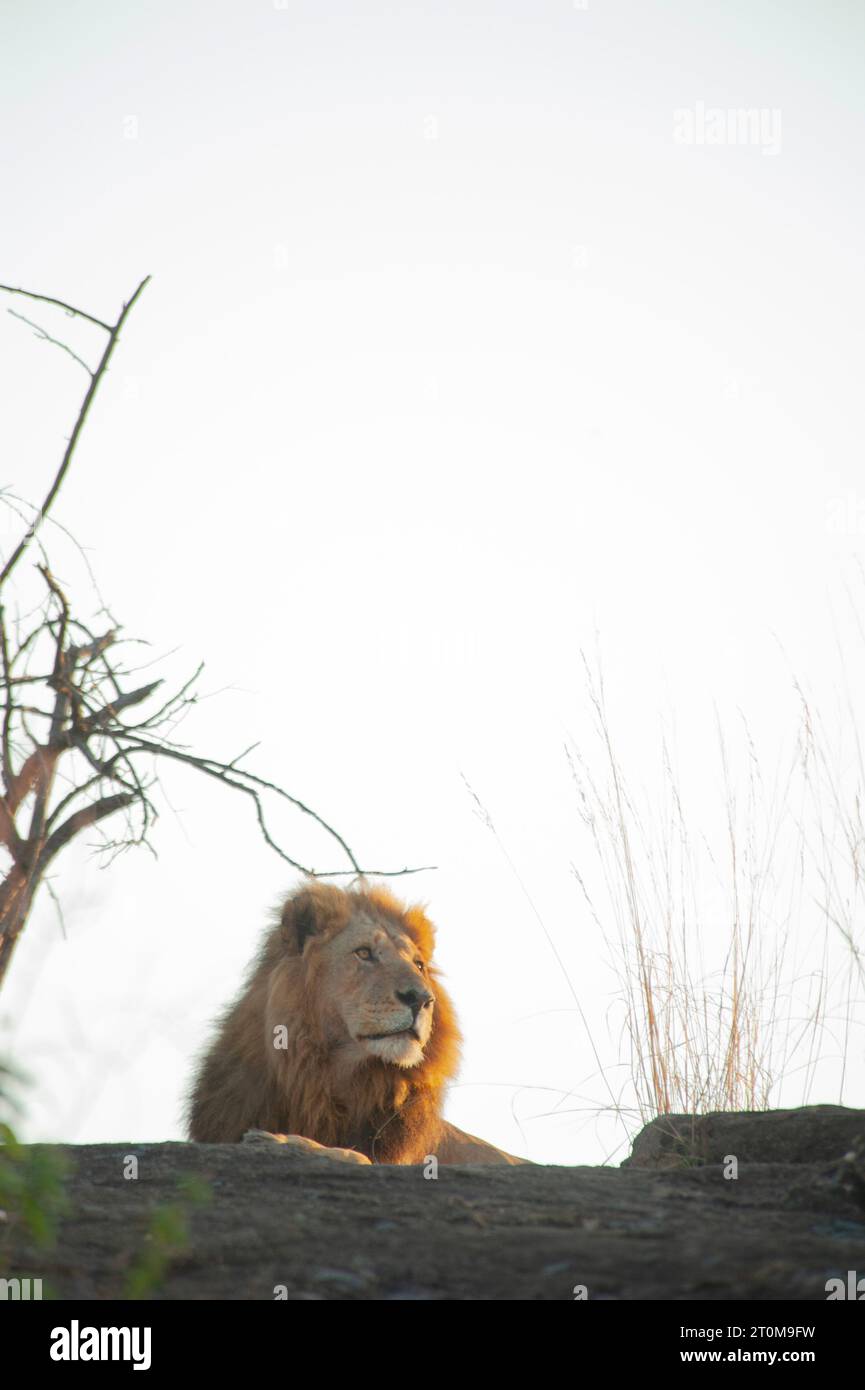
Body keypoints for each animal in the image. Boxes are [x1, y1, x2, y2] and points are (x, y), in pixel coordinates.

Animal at [186, 882, 525, 1165]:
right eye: (364, 953)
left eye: (419, 965)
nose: (421, 999)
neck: (321, 1078)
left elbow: (355, 1155)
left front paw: (284, 1142)